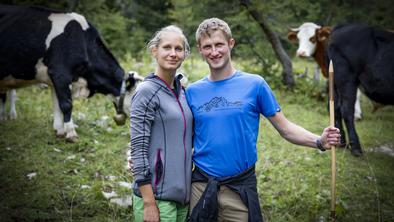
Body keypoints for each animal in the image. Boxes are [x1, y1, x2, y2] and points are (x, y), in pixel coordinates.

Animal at [0, 5, 134, 142]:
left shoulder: (54, 79)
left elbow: (57, 105)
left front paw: (60, 131)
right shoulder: (60, 74)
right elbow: (66, 104)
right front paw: (71, 134)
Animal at [326, 23, 394, 156]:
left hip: (337, 83)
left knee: (336, 107)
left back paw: (341, 141)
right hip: (347, 78)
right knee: (346, 110)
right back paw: (356, 148)